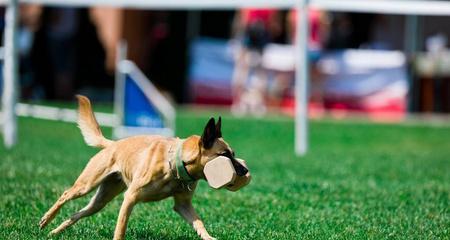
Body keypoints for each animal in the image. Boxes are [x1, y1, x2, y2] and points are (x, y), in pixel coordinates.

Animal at [38, 95, 248, 240]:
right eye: (224, 155)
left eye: (233, 153)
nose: (245, 171)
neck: (174, 165)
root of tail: (112, 144)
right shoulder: (130, 198)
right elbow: (121, 228)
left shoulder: (183, 204)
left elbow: (199, 223)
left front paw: (209, 237)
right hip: (87, 185)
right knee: (65, 194)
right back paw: (46, 220)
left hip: (101, 200)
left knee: (77, 214)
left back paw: (54, 232)